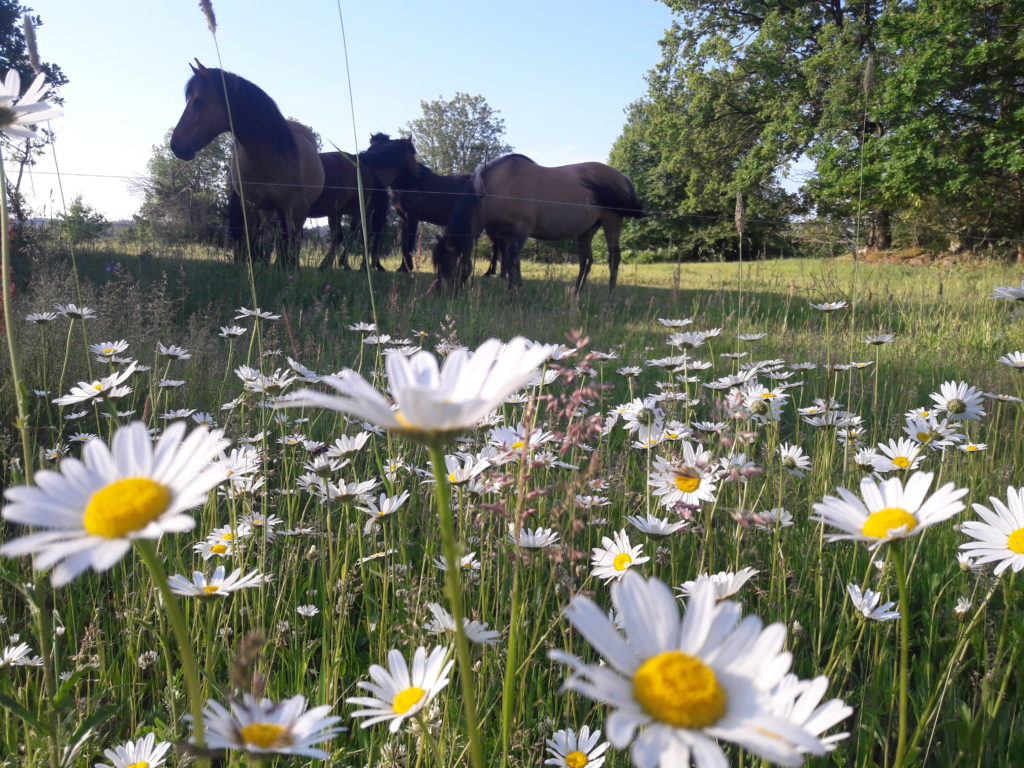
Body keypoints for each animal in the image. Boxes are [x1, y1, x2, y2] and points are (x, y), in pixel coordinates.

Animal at [171, 62, 323, 270]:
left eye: (198, 102)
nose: (175, 145)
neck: (268, 157)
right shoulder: (250, 207)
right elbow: (252, 243)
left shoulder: (295, 208)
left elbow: (291, 246)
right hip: (267, 211)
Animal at [305, 135, 417, 270]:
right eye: (414, 153)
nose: (418, 175)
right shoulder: (361, 212)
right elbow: (360, 237)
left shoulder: (338, 212)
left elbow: (343, 236)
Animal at [434, 153, 643, 290]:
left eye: (450, 260)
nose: (441, 292)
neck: (498, 187)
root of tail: (622, 177)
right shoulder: (503, 233)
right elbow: (512, 263)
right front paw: (515, 288)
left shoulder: (521, 230)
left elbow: (510, 260)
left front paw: (513, 293)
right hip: (588, 229)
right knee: (586, 261)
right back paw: (576, 294)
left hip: (612, 221)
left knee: (613, 259)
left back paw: (610, 296)